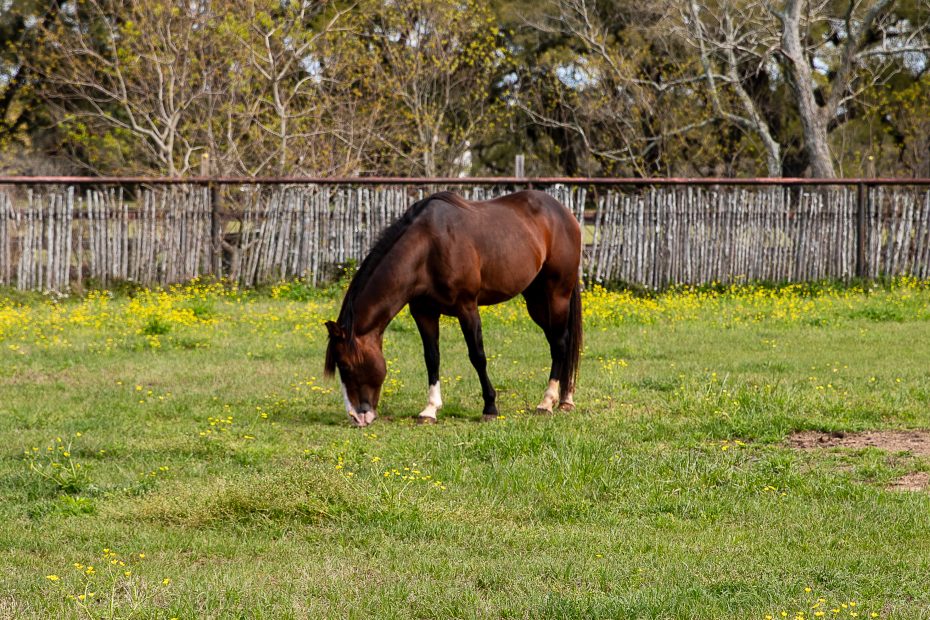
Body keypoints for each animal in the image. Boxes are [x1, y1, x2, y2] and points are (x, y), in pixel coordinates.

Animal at [322, 190, 576, 426]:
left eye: (345, 365)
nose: (357, 417)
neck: (428, 247)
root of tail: (562, 212)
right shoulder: (423, 312)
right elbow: (432, 357)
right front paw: (430, 410)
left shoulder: (467, 308)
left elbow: (478, 356)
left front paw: (490, 407)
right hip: (536, 301)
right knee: (556, 342)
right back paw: (564, 400)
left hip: (556, 295)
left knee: (560, 344)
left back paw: (547, 403)